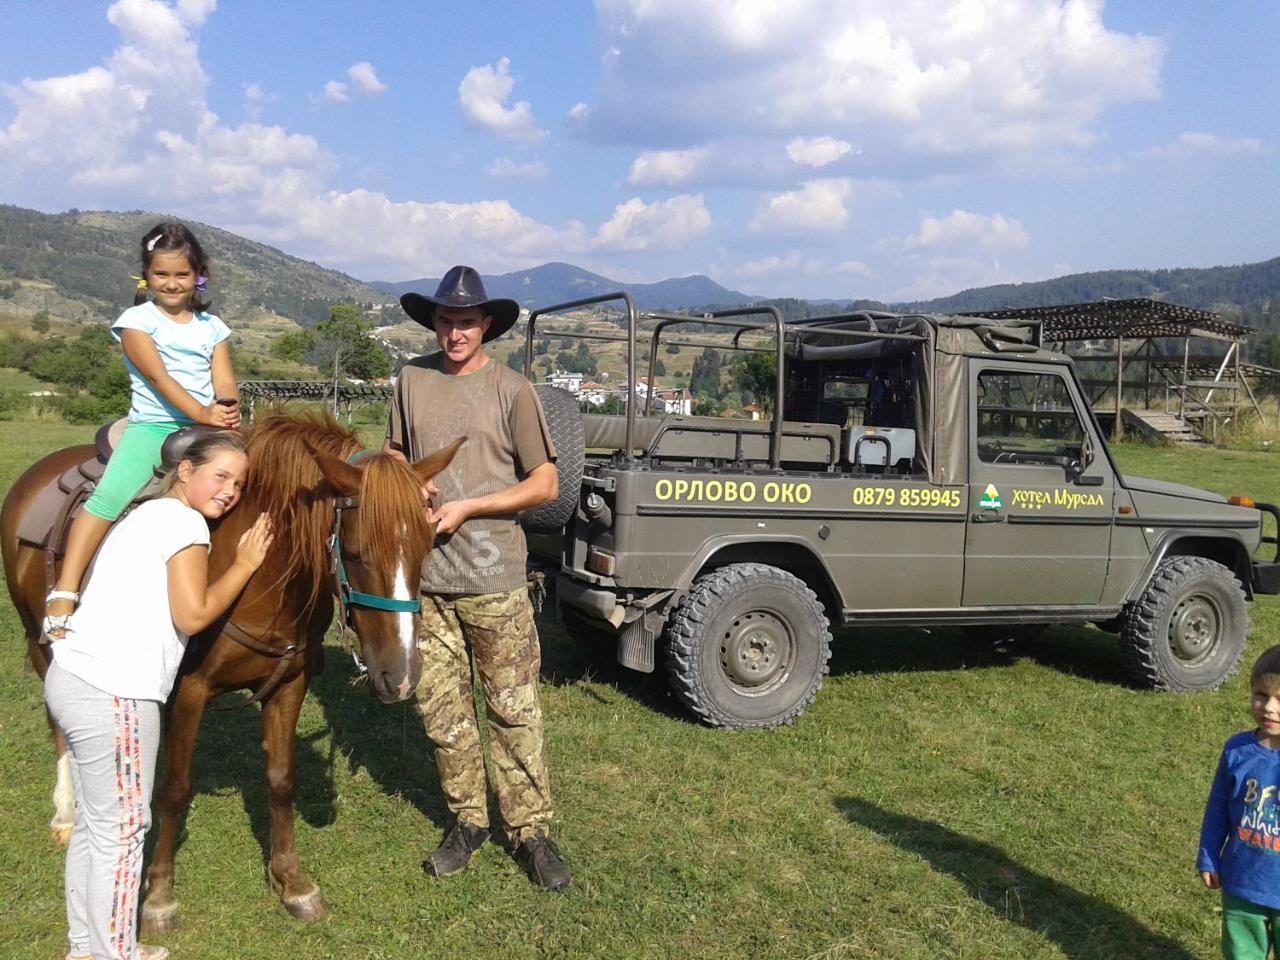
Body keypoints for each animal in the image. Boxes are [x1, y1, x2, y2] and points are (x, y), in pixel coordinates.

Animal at [0, 412, 460, 931]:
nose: (400, 677)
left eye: (427, 546)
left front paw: (292, 882)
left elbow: (280, 779)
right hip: (40, 641)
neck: (257, 581)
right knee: (59, 723)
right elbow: (175, 788)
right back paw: (64, 812)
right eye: (357, 553)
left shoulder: (289, 685)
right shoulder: (190, 690)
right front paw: (159, 896)